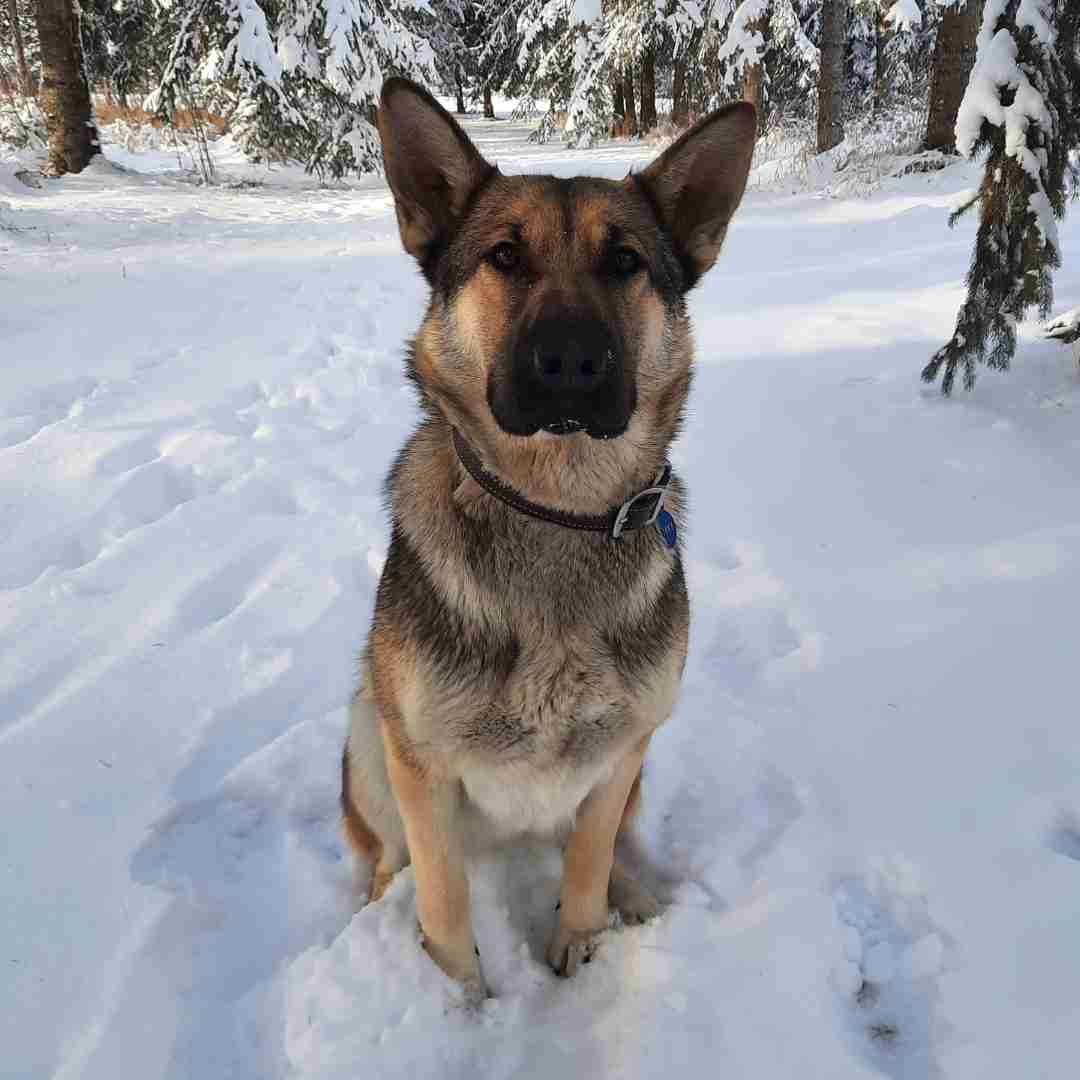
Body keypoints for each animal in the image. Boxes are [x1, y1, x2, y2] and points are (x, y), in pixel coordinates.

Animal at [341, 79, 756, 997]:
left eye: (625, 262)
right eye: (504, 256)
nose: (571, 361)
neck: (553, 510)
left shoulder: (623, 749)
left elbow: (588, 862)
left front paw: (581, 943)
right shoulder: (422, 766)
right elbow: (444, 904)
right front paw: (457, 1003)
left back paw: (636, 894)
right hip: (367, 736)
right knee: (384, 856)